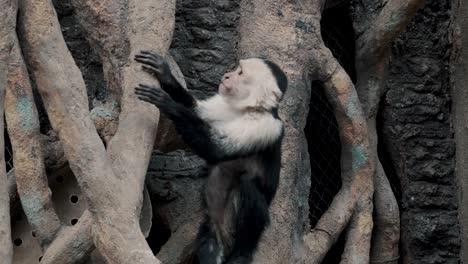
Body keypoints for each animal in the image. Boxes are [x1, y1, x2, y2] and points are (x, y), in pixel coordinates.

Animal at [133, 51, 288, 264]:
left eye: (240, 72)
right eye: (236, 69)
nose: (227, 75)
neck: (246, 110)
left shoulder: (265, 126)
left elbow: (216, 150)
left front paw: (168, 104)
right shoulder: (225, 104)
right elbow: (197, 110)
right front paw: (165, 74)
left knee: (249, 186)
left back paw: (242, 253)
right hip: (213, 231)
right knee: (208, 241)